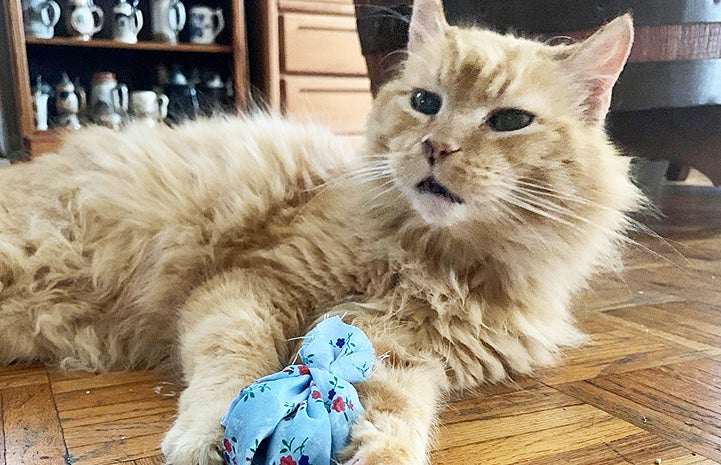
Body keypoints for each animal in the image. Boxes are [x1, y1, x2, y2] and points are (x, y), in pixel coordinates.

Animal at [0, 1, 640, 462]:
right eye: (425, 102)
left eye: (509, 121)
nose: (435, 146)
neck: (431, 260)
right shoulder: (247, 285)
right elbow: (230, 363)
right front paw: (209, 435)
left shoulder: (403, 354)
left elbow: (396, 417)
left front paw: (382, 454)